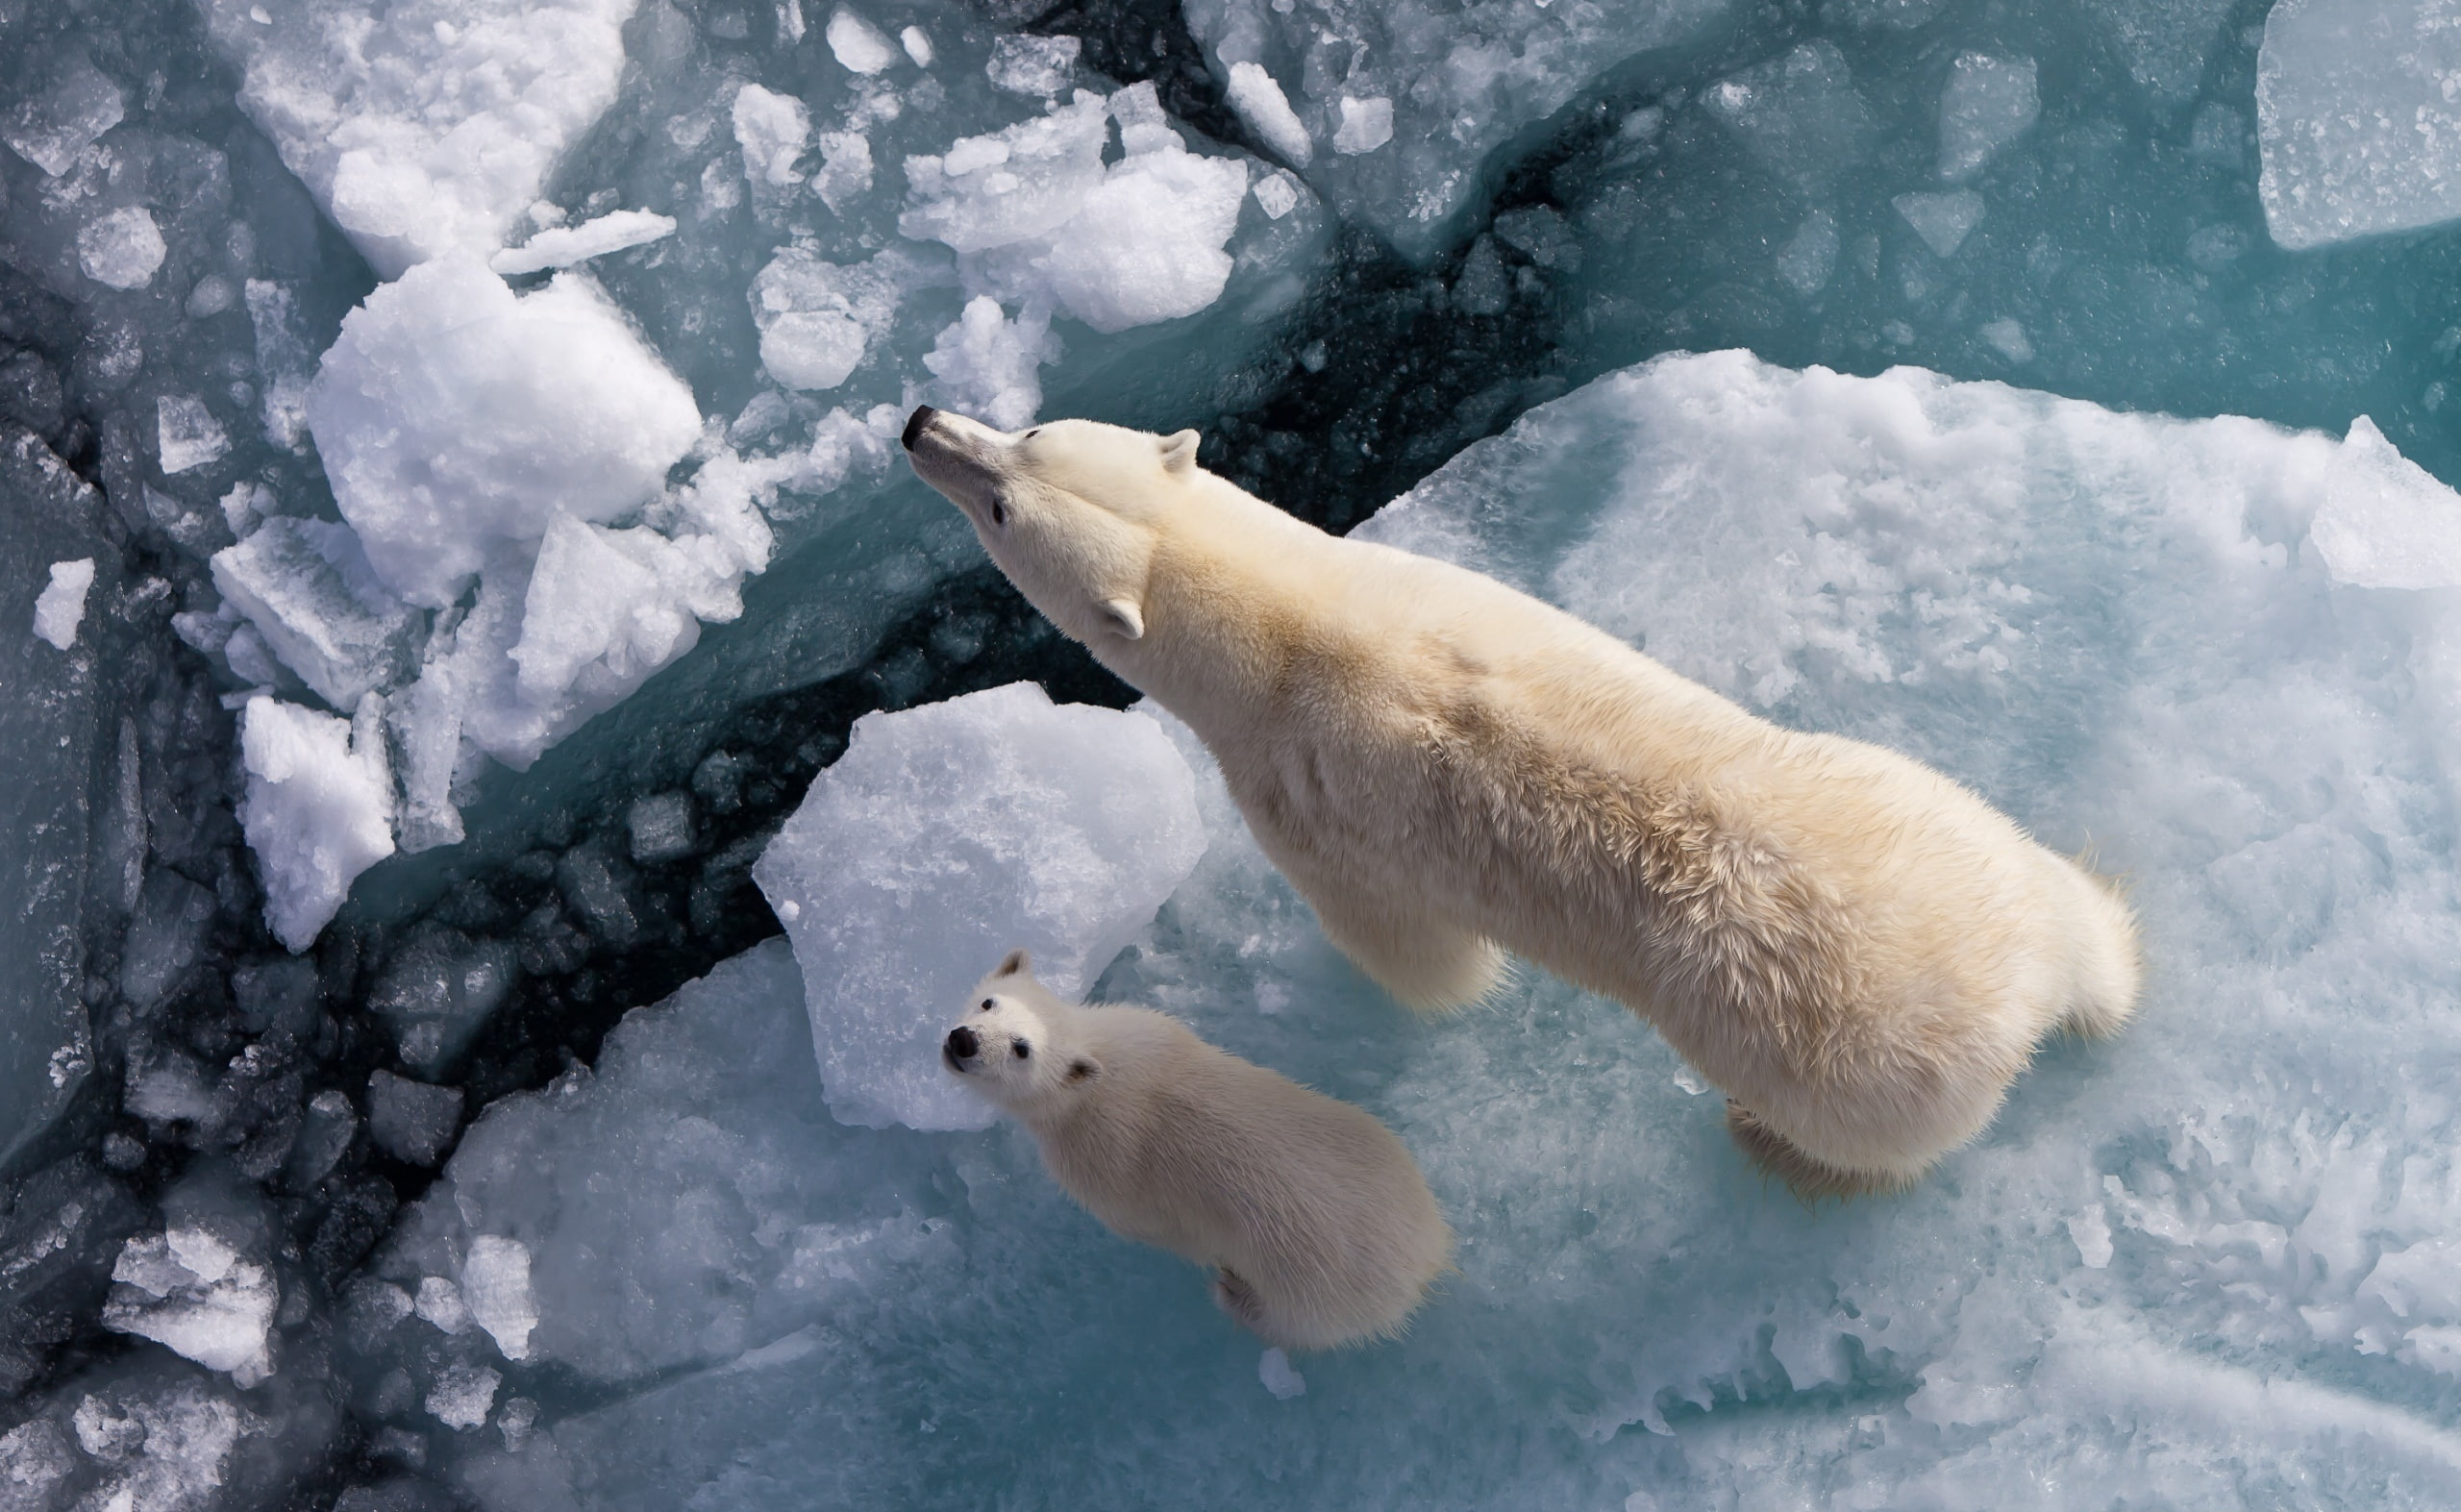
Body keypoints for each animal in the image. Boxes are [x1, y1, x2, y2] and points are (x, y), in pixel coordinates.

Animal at [902, 404, 2143, 1198]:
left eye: (1004, 497)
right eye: (1030, 437)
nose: (919, 422)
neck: (1292, 626)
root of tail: (2017, 991)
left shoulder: (1301, 800)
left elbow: (1410, 952)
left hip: (1844, 1061)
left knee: (1865, 1140)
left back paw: (1767, 1143)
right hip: (1937, 815)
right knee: (2069, 904)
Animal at [942, 949, 1452, 1351]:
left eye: (1021, 1048)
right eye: (989, 1001)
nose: (963, 1040)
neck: (1102, 1070)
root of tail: (1426, 1257)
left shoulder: (1102, 1167)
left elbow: (1151, 1227)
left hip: (1313, 1288)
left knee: (1292, 1324)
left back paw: (1233, 1293)